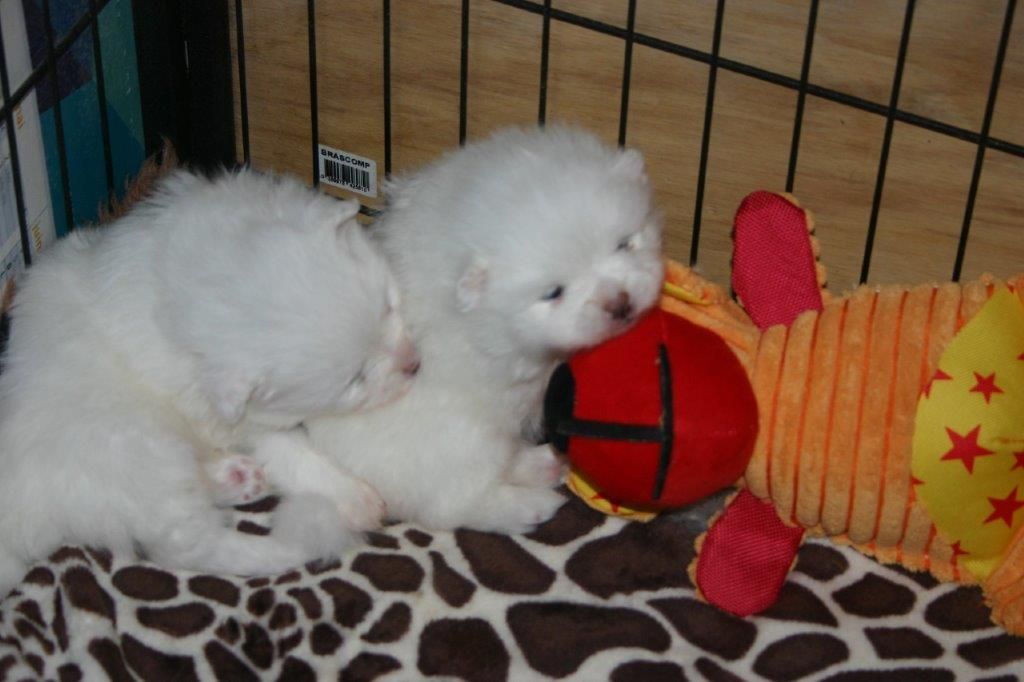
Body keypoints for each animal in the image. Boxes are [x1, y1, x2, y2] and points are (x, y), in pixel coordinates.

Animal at [0, 169, 419, 593]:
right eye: (355, 379)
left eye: (389, 306)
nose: (414, 365)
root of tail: (21, 516)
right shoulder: (232, 418)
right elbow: (290, 450)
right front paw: (357, 498)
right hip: (141, 458)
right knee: (186, 546)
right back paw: (293, 543)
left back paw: (238, 478)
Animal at [305, 125, 663, 532]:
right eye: (553, 293)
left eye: (626, 244)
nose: (619, 304)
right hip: (462, 445)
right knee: (454, 505)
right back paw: (531, 505)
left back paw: (544, 463)